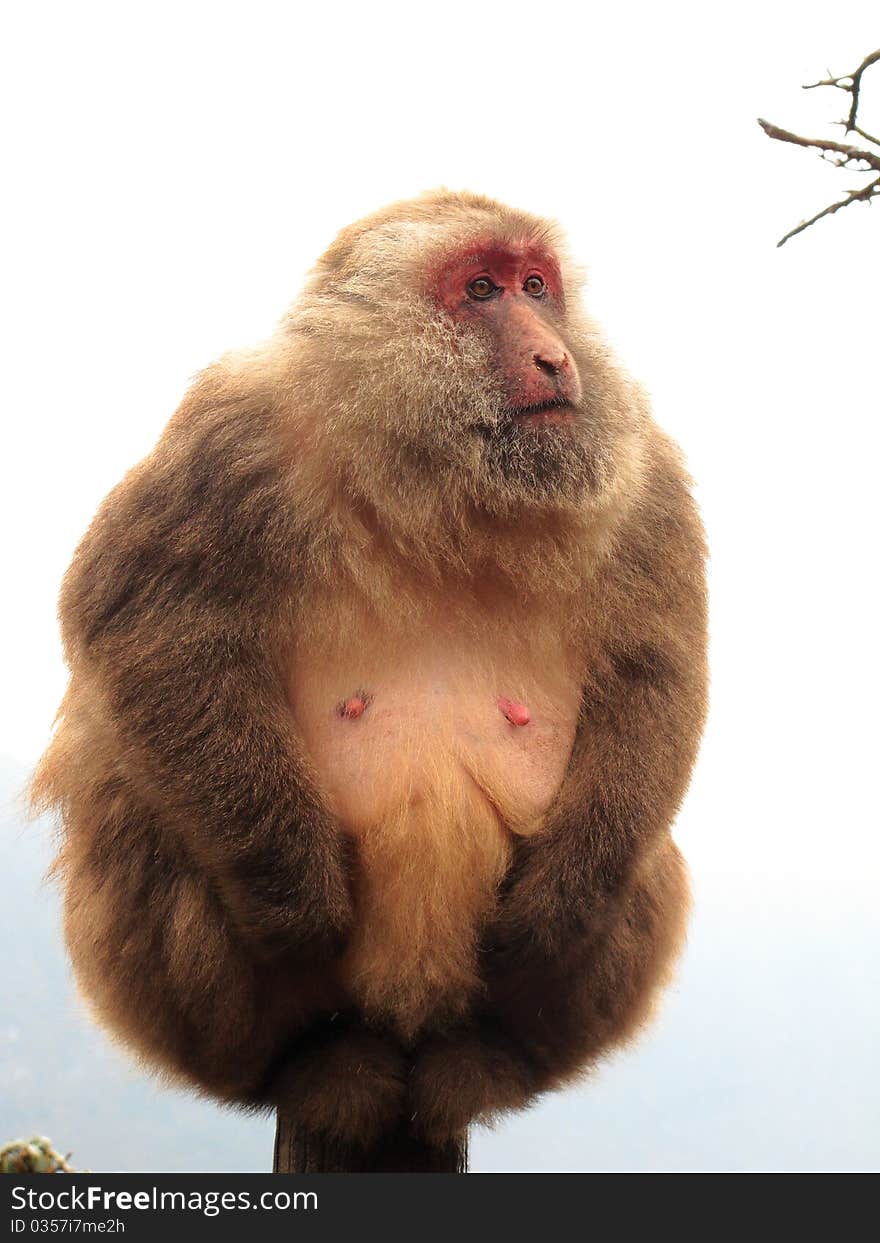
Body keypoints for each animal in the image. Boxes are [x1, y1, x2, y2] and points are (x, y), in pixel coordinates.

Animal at [32, 188, 705, 1148]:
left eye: (537, 285)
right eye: (482, 289)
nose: (553, 353)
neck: (440, 479)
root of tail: (406, 1028)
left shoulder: (642, 474)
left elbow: (658, 667)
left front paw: (560, 907)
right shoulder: (229, 431)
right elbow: (143, 622)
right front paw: (295, 894)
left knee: (642, 855)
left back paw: (489, 1059)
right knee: (132, 798)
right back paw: (313, 1061)